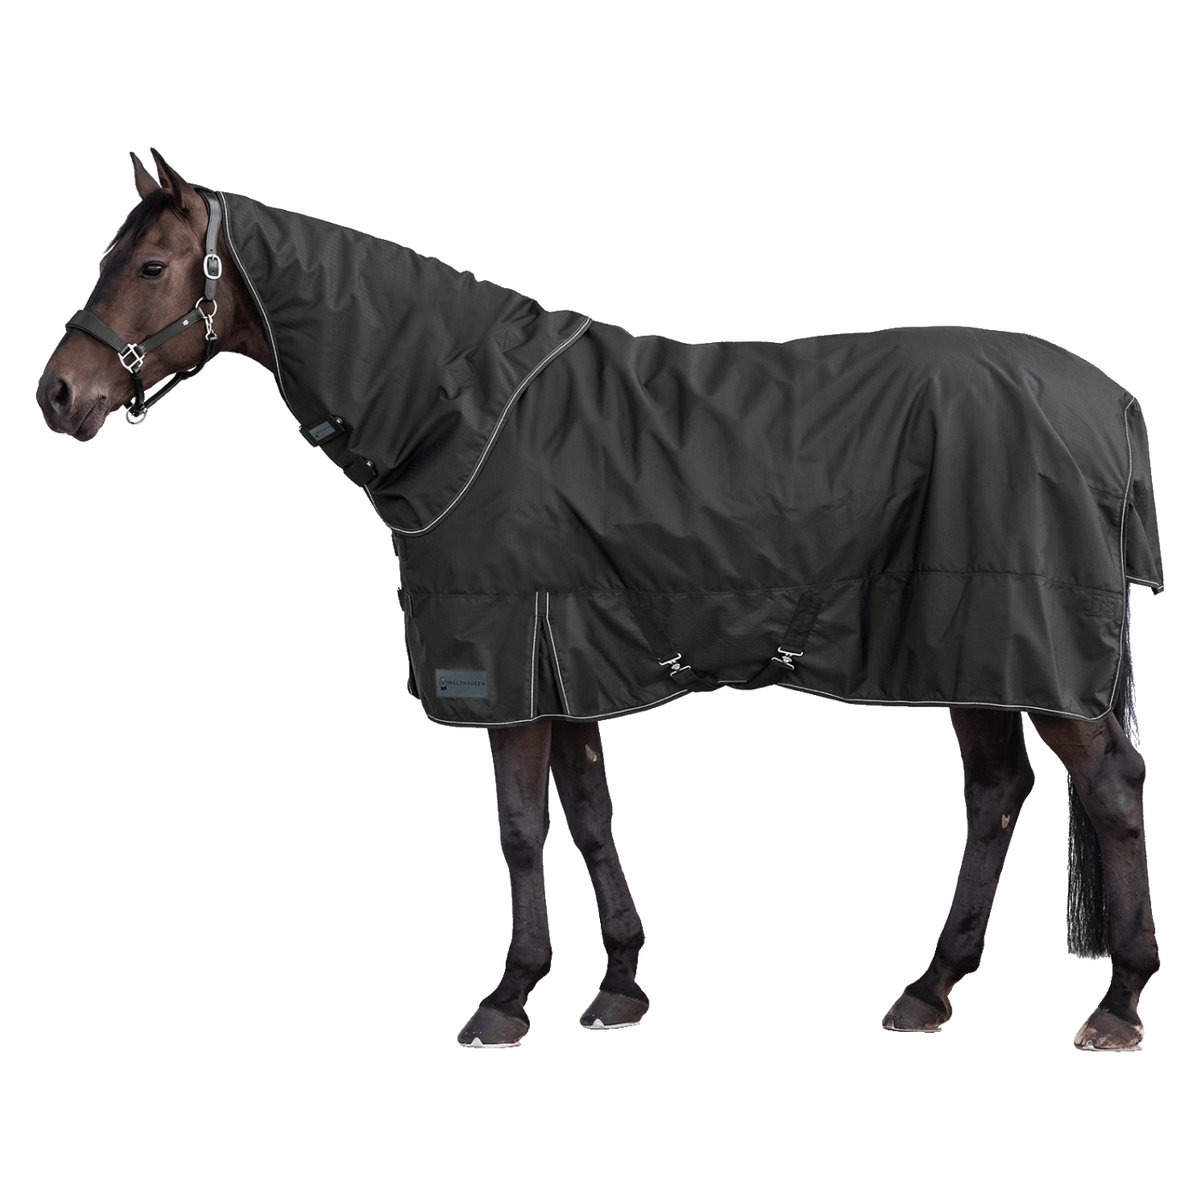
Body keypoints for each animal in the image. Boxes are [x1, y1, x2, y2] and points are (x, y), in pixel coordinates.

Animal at [34, 147, 1163, 1053]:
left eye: (148, 266)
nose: (58, 395)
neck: (462, 405)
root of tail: (1108, 399)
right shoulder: (563, 652)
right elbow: (586, 818)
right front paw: (618, 986)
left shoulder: (506, 658)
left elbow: (520, 830)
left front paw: (506, 999)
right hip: (972, 642)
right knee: (996, 793)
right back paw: (930, 990)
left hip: (1026, 642)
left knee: (1107, 787)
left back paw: (1117, 1004)